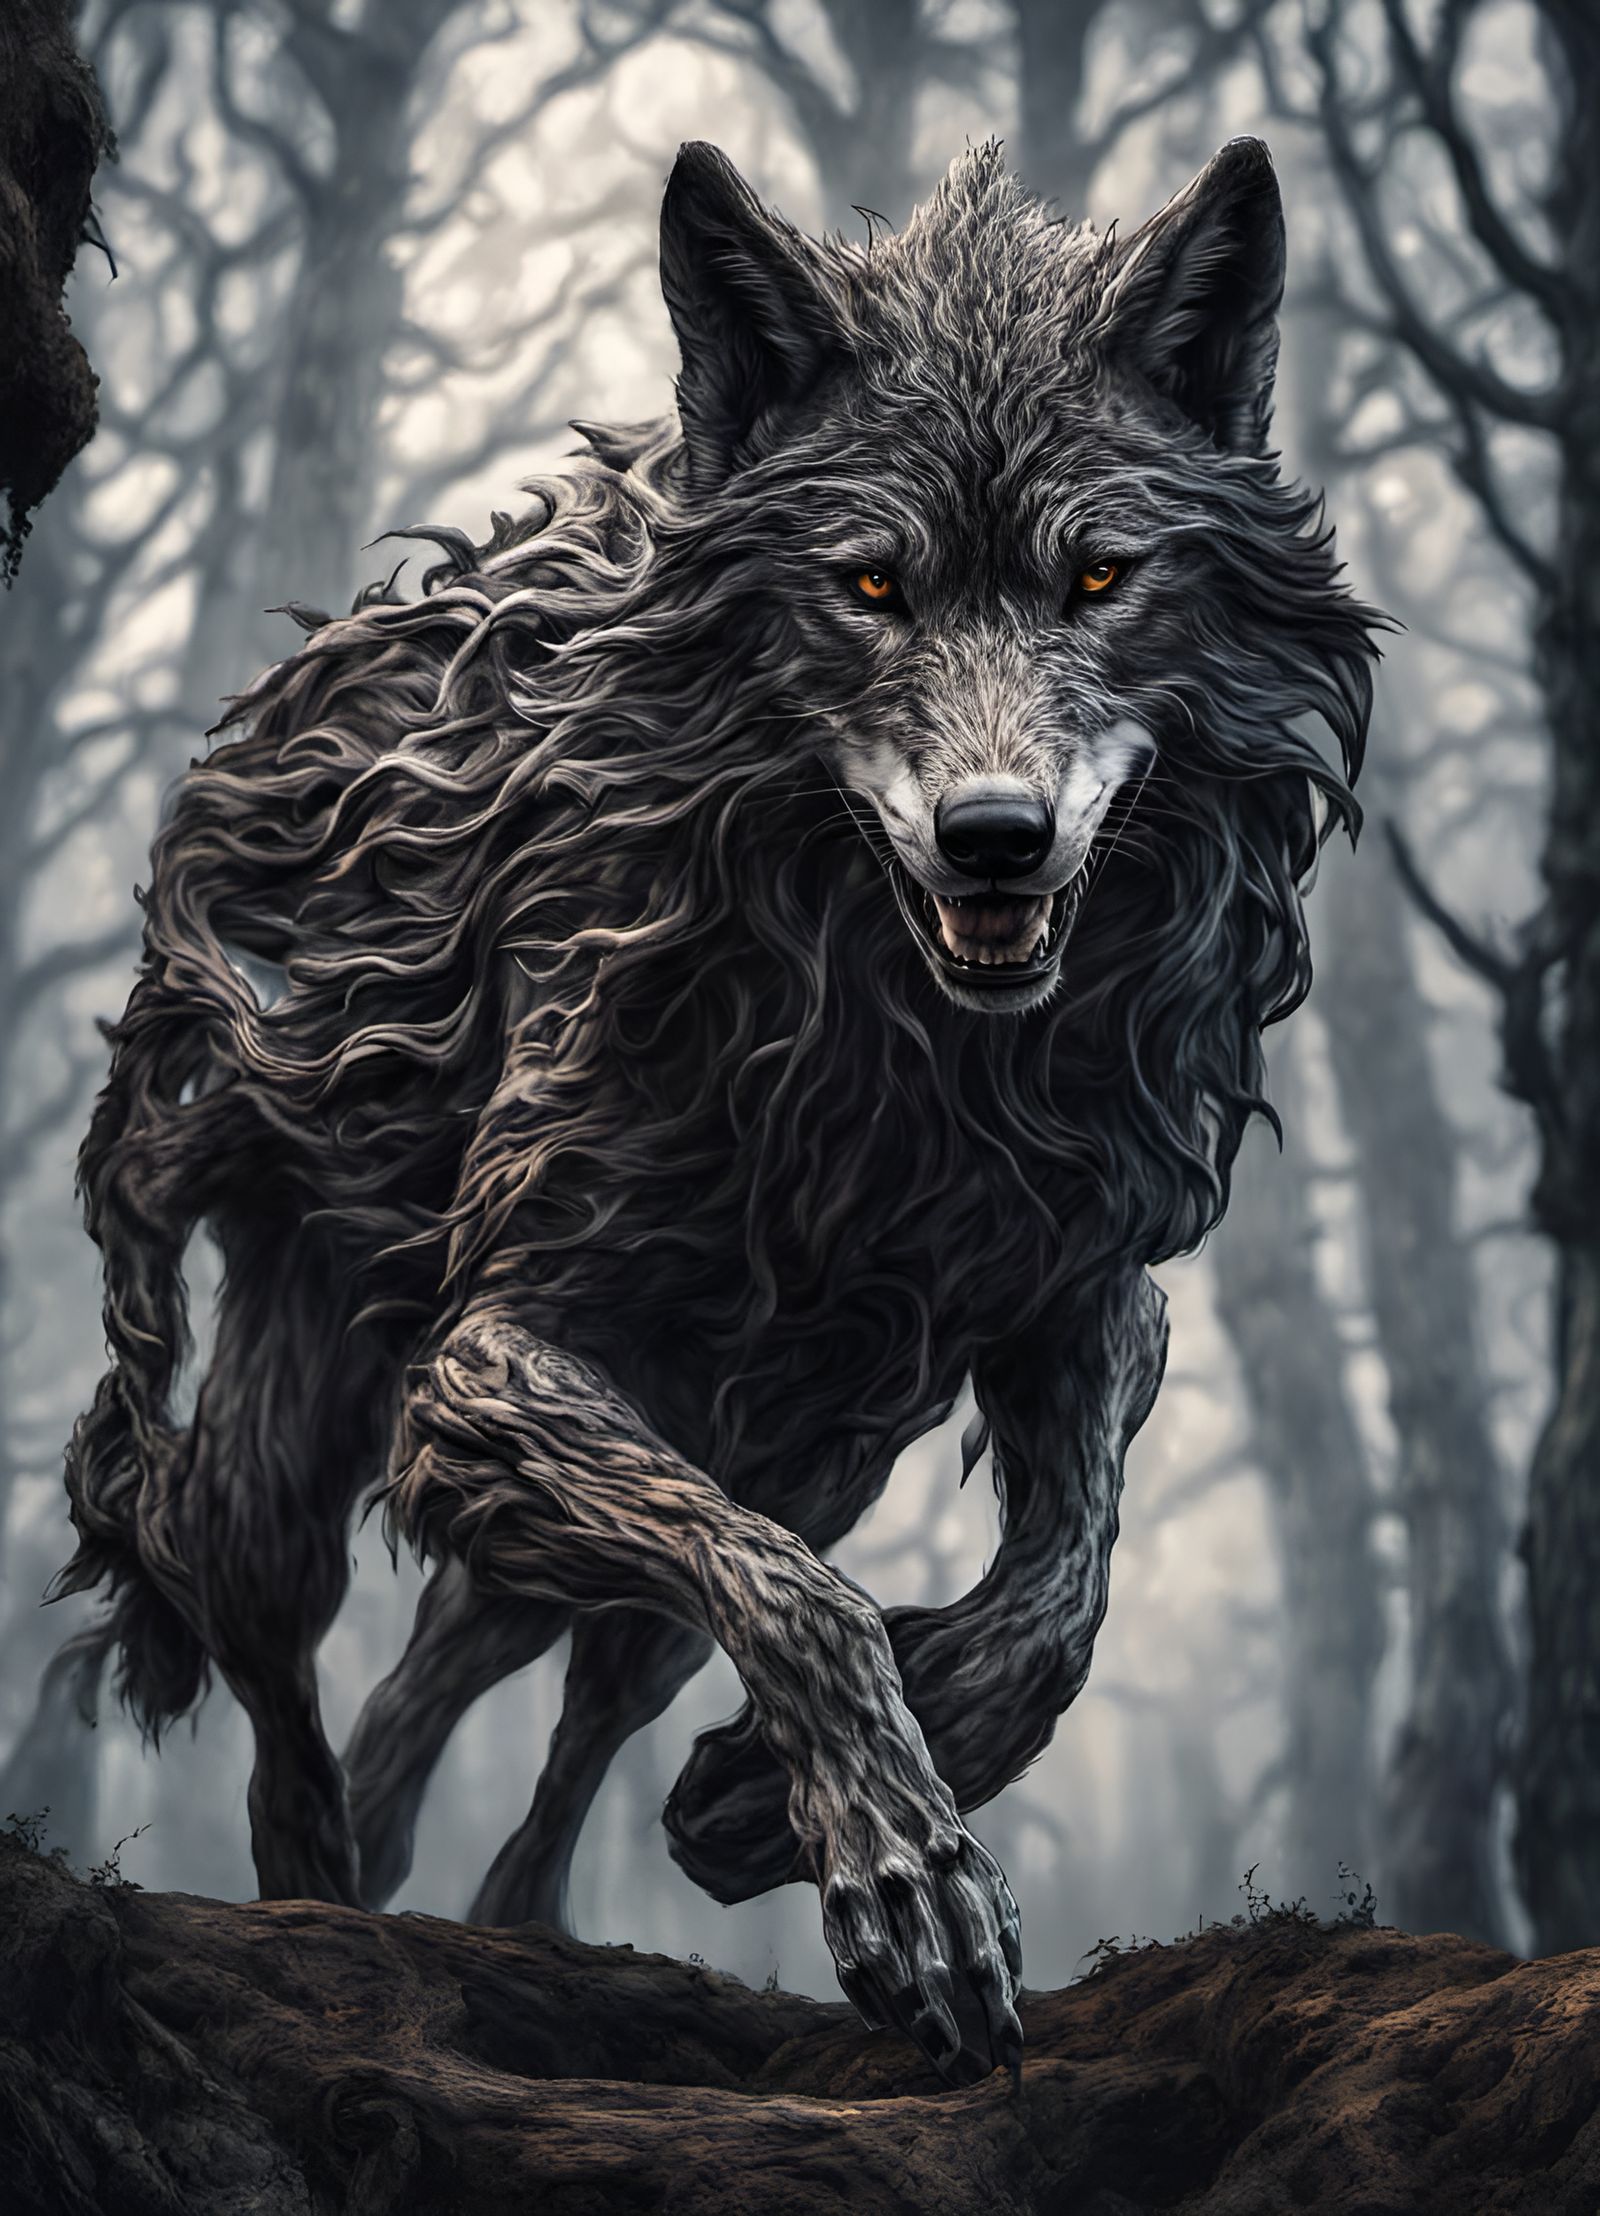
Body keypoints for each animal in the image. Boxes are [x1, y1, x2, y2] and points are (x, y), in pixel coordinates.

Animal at [59, 137, 1376, 2084]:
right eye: (870, 590)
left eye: (1100, 578)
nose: (997, 839)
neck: (902, 1066)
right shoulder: (488, 1357)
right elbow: (791, 1596)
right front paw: (902, 1875)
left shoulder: (1076, 1295)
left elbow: (1057, 1598)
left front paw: (775, 1804)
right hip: (316, 1432)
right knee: (291, 1642)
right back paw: (328, 1902)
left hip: (789, 1440)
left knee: (500, 1687)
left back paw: (515, 1907)